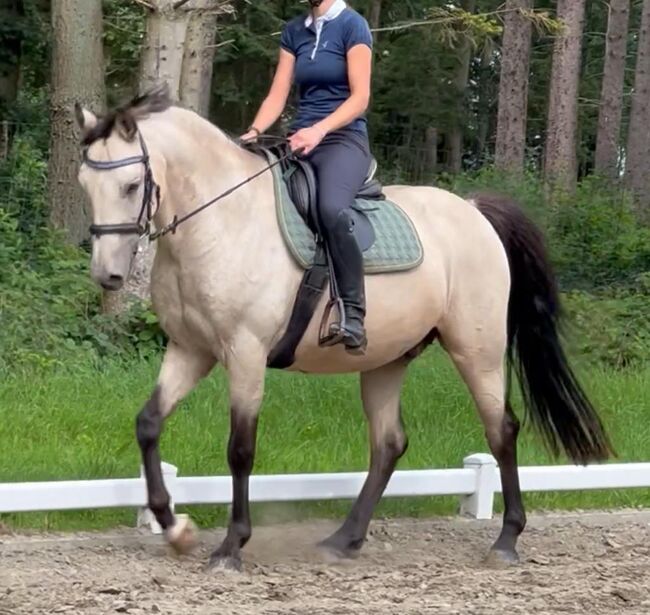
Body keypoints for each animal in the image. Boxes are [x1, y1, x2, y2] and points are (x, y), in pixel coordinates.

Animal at [73, 86, 612, 572]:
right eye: (84, 185)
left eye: (130, 186)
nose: (108, 276)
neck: (221, 222)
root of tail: (474, 210)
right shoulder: (190, 349)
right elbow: (148, 424)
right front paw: (175, 528)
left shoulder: (245, 353)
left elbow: (240, 449)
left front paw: (231, 547)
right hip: (387, 359)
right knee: (389, 444)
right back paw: (344, 540)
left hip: (475, 351)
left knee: (501, 431)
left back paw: (505, 541)